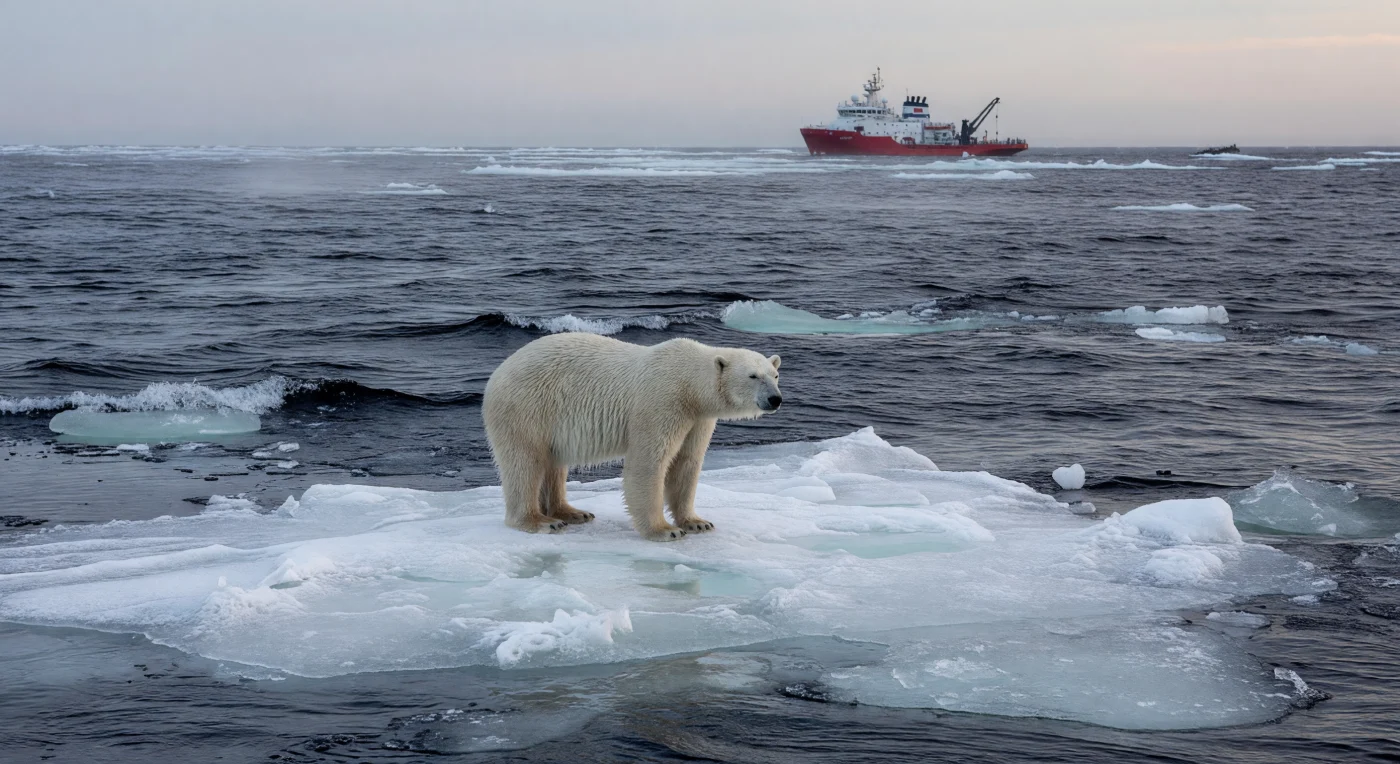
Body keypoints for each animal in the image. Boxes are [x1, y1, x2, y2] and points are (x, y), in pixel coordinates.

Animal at [482, 334, 782, 541]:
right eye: (753, 376)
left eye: (775, 374)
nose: (775, 399)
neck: (689, 385)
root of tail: (497, 373)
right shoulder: (663, 402)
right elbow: (649, 462)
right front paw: (665, 530)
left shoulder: (698, 418)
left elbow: (687, 462)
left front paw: (697, 522)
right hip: (527, 408)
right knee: (525, 462)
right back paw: (540, 521)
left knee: (554, 464)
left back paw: (573, 512)